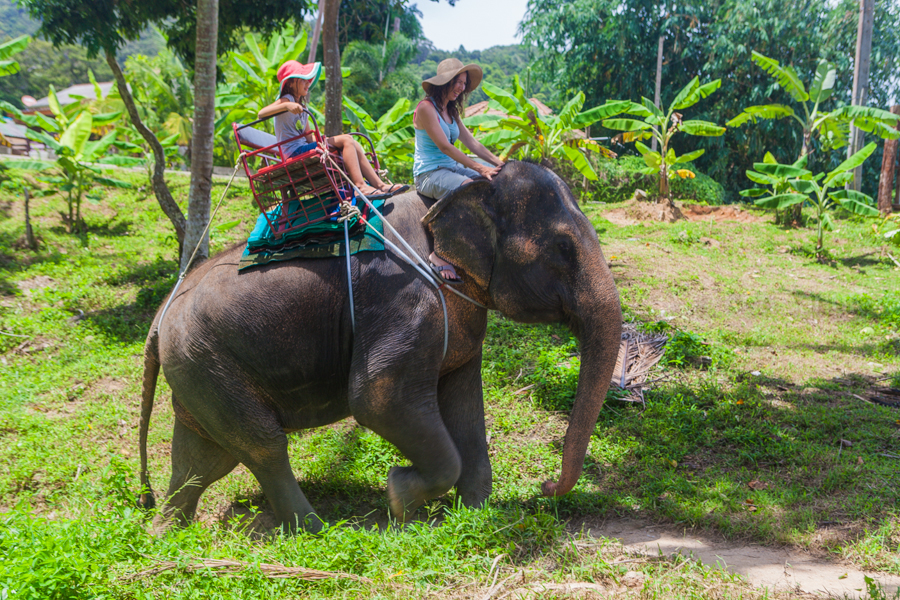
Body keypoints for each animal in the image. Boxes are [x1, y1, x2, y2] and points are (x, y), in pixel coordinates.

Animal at [137, 161, 624, 536]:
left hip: (198, 367)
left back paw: (167, 532)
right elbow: (377, 398)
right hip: (206, 359)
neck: (458, 194)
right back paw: (318, 532)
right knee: (262, 445)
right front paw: (400, 499)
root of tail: (157, 322)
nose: (545, 487)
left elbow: (466, 404)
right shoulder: (404, 300)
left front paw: (474, 511)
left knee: (202, 455)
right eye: (563, 247)